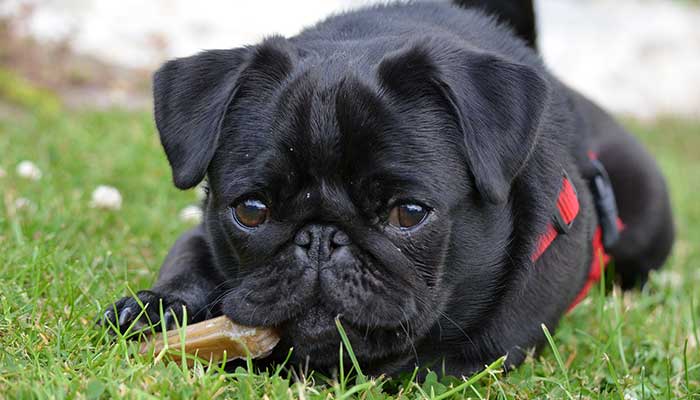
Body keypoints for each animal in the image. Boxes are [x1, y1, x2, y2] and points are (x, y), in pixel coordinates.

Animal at [102, 0, 672, 376]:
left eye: (408, 214)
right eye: (252, 210)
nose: (320, 238)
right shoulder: (200, 237)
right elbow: (187, 263)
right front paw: (155, 308)